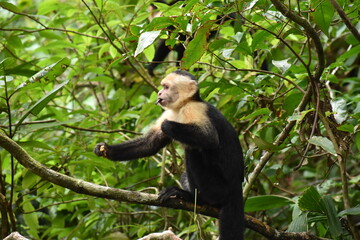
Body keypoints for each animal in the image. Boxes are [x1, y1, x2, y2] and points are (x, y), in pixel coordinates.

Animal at [93, 70, 245, 240]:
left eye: (166, 87)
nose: (159, 93)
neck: (182, 106)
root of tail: (236, 186)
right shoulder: (170, 112)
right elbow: (149, 144)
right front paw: (105, 149)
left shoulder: (193, 109)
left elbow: (209, 139)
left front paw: (168, 126)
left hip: (219, 187)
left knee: (193, 149)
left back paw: (194, 198)